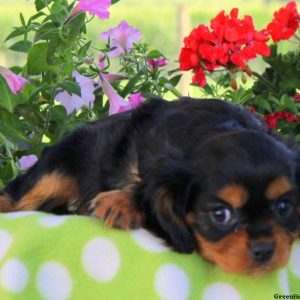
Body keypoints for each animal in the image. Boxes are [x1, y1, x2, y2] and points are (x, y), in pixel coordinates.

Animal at [0, 98, 300, 274]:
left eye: (285, 207)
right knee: (16, 196)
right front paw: (121, 203)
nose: (264, 251)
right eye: (220, 214)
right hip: (56, 169)